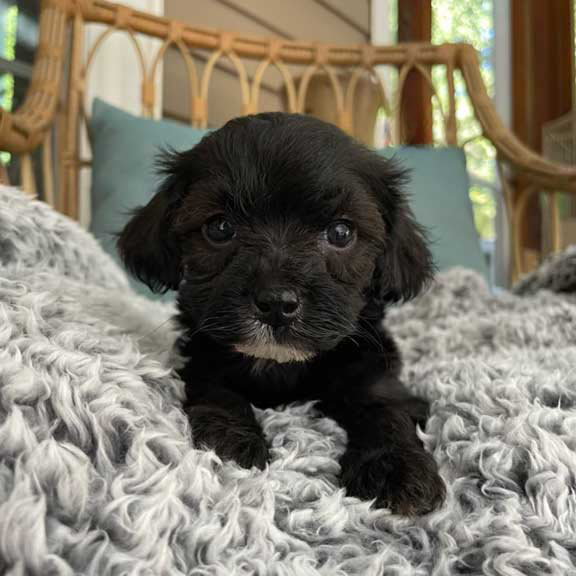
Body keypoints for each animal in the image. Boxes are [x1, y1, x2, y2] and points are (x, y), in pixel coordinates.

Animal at [118, 111, 446, 512]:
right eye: (219, 227)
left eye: (341, 232)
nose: (276, 302)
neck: (279, 365)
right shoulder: (202, 358)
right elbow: (217, 391)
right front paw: (231, 441)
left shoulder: (372, 367)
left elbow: (385, 406)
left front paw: (396, 468)